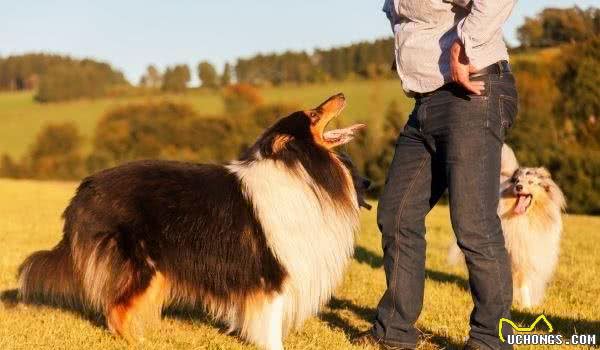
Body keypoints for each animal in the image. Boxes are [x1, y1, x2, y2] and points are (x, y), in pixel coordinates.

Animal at [16, 93, 368, 350]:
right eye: (312, 115)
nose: (340, 94)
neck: (300, 169)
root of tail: (84, 190)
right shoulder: (272, 270)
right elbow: (270, 324)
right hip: (141, 265)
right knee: (115, 311)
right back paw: (138, 343)